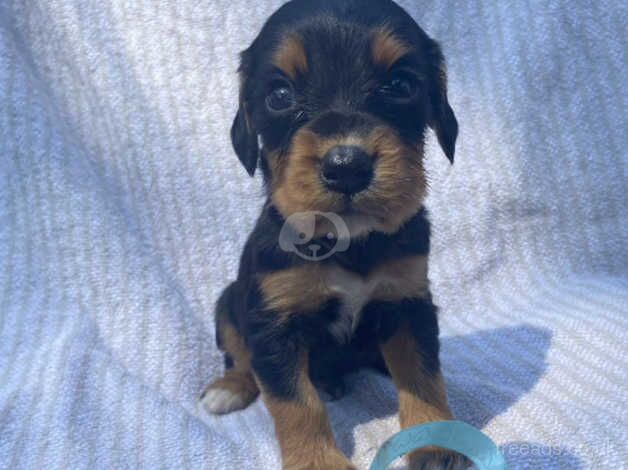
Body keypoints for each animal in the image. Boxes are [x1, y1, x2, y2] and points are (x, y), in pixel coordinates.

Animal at [204, 0, 464, 470]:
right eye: (279, 95)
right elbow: (296, 403)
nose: (347, 167)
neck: (349, 241)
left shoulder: (408, 300)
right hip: (229, 302)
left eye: (401, 84)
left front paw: (436, 443)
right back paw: (228, 389)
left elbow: (422, 375)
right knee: (240, 357)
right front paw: (318, 461)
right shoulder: (273, 324)